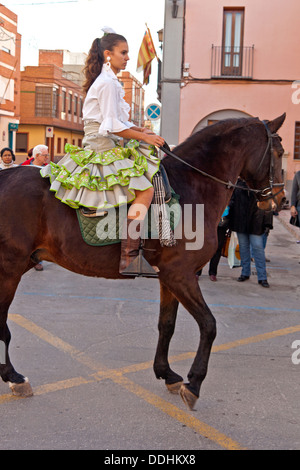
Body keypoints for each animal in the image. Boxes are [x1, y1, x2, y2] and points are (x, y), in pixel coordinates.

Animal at [0, 114, 284, 408]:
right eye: (279, 153)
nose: (280, 199)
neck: (193, 186)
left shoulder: (170, 278)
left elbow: (167, 325)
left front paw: (167, 373)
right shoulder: (181, 275)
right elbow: (209, 325)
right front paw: (194, 384)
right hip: (9, 267)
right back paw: (14, 377)